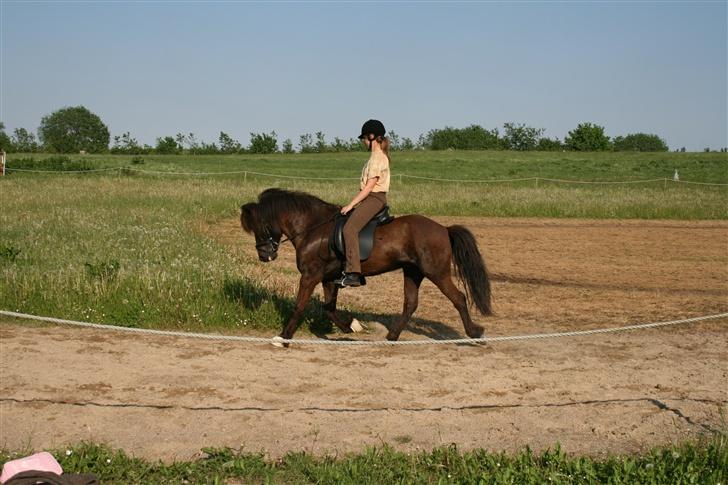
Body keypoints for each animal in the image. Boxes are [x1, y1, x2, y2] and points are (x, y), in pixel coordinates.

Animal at [242, 187, 492, 342]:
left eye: (261, 226)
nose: (264, 256)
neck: (313, 228)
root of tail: (443, 229)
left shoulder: (310, 276)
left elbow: (299, 305)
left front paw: (283, 336)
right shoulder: (328, 278)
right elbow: (329, 308)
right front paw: (352, 327)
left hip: (436, 272)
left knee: (458, 298)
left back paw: (474, 332)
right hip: (413, 272)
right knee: (410, 304)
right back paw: (392, 336)